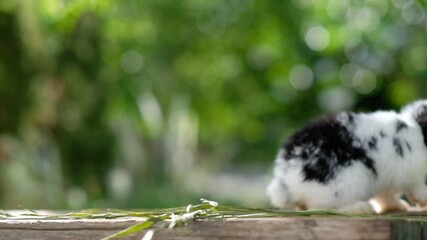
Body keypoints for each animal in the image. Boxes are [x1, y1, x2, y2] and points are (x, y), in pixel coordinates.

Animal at [270, 100, 427, 214]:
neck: (419, 130)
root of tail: (286, 183)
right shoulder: (414, 179)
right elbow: (419, 191)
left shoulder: (386, 180)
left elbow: (385, 197)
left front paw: (398, 207)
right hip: (348, 183)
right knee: (326, 207)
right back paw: (362, 208)